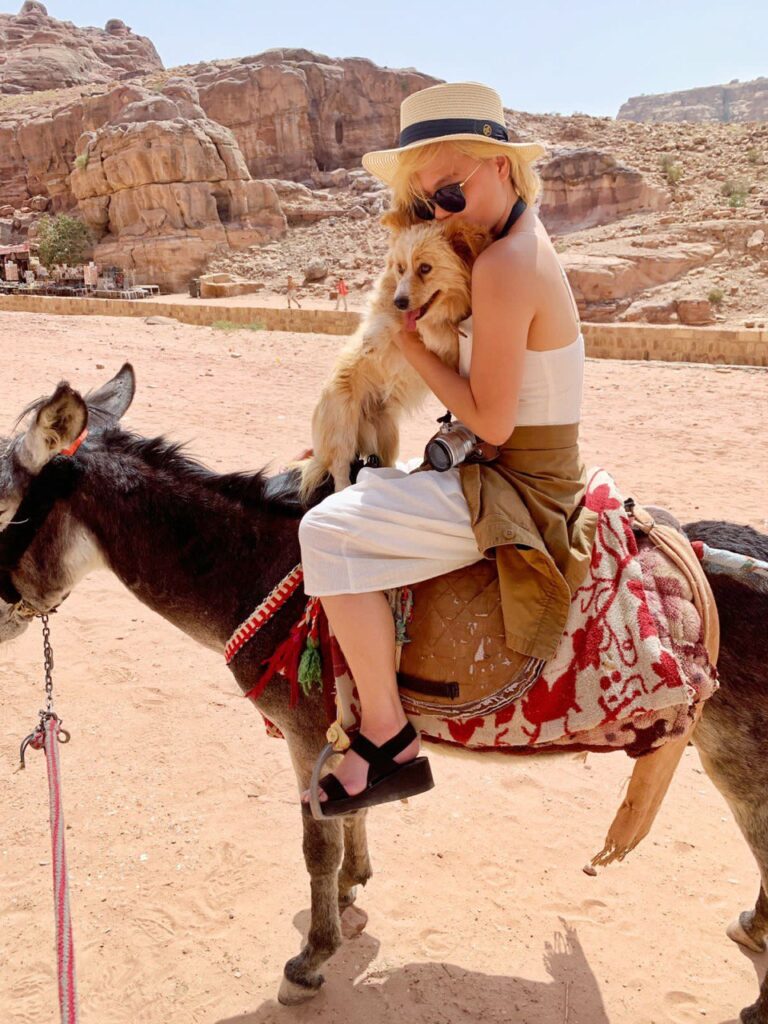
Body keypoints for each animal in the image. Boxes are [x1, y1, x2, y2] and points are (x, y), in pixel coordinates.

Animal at [296, 219, 489, 499]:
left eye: (425, 268)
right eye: (400, 268)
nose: (401, 302)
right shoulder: (389, 301)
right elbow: (384, 314)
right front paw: (373, 339)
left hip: (388, 435)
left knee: (381, 463)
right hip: (341, 425)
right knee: (340, 468)